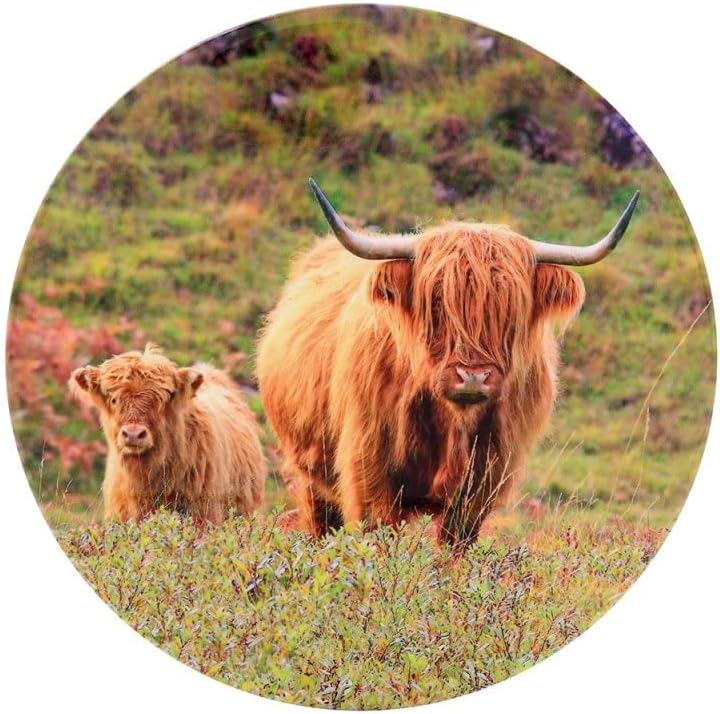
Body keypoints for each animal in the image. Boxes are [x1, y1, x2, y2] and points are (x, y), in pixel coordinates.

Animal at [256, 179, 638, 548]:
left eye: (509, 308)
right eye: (437, 302)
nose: (473, 377)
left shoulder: (482, 484)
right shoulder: (370, 474)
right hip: (308, 469)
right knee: (321, 524)